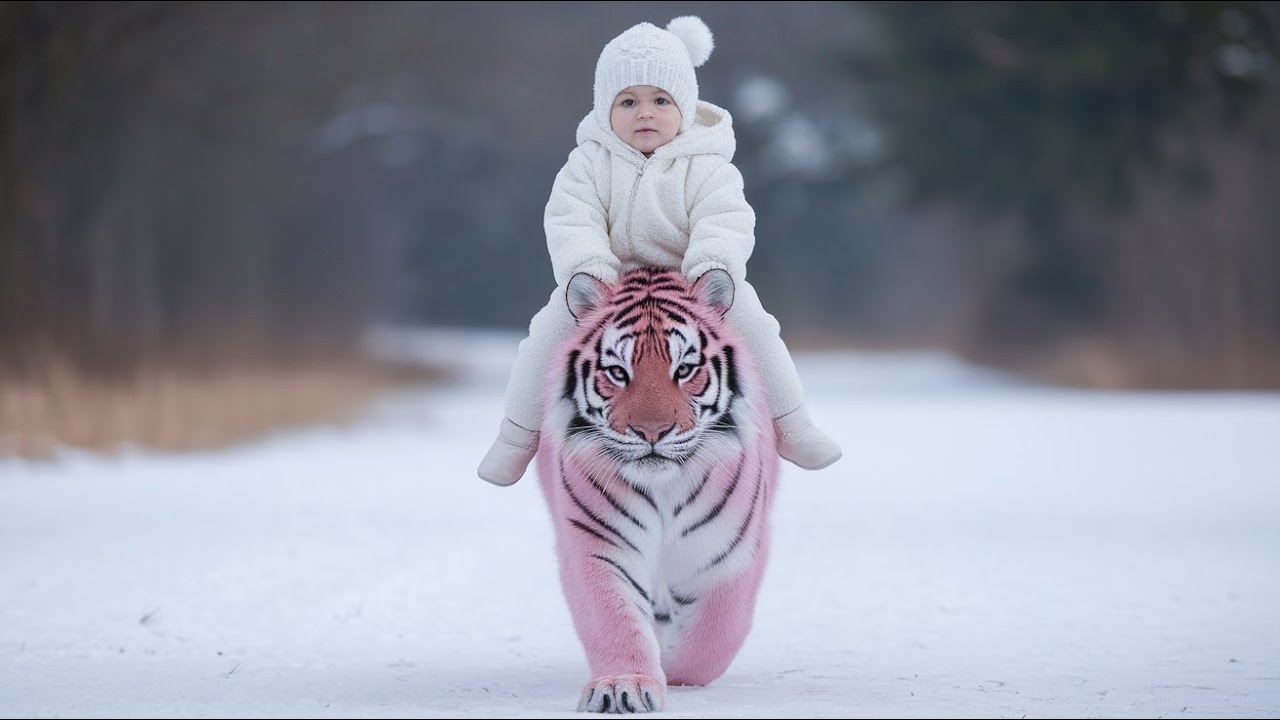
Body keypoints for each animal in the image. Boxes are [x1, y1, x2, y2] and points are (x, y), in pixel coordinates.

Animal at [536, 267, 780, 714]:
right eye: (618, 372)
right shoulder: (598, 544)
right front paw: (622, 687)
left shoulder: (727, 551)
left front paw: (671, 670)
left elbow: (715, 636)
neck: (664, 488)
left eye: (684, 370)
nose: (652, 432)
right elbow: (612, 618)